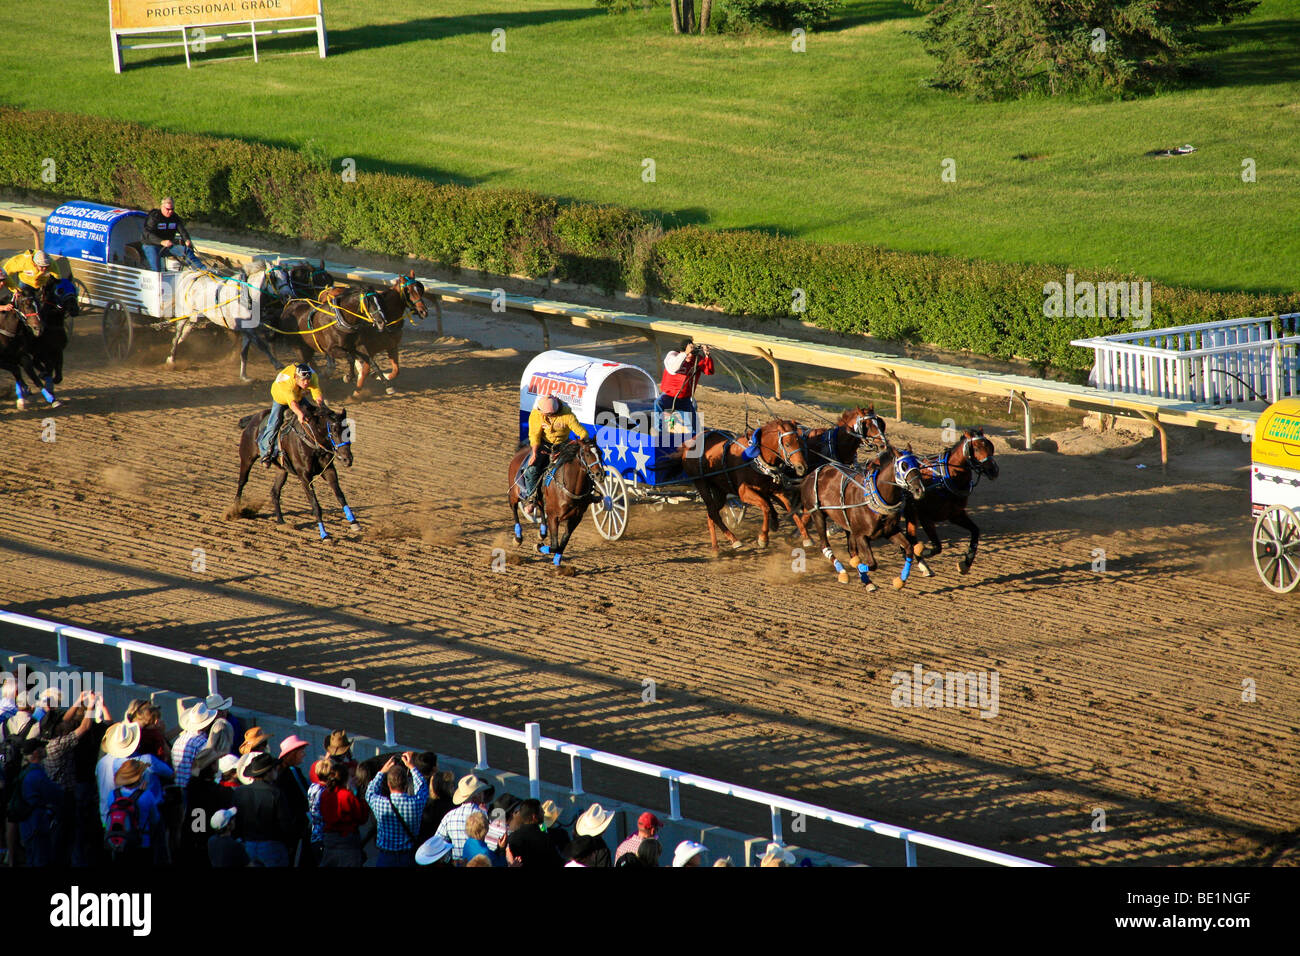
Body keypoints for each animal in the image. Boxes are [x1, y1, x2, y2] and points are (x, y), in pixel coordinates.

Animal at [233, 400, 356, 541]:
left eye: (348, 432)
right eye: (334, 431)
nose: (348, 460)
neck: (312, 441)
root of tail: (253, 418)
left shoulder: (329, 470)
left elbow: (340, 496)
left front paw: (354, 523)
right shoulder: (304, 476)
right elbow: (315, 505)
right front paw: (324, 534)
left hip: (282, 470)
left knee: (274, 492)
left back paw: (281, 521)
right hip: (247, 458)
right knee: (242, 482)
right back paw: (235, 510)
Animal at [506, 437, 608, 572]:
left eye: (600, 453)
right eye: (587, 454)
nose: (599, 474)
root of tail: (521, 451)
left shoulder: (576, 518)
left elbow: (563, 541)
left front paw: (558, 562)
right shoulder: (554, 516)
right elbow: (554, 545)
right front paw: (538, 546)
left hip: (541, 500)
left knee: (540, 507)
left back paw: (542, 533)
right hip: (514, 494)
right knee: (514, 508)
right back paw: (518, 538)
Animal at [686, 421, 806, 554]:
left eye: (800, 442)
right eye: (788, 444)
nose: (802, 467)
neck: (754, 458)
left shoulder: (773, 490)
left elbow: (790, 508)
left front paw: (806, 537)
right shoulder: (744, 493)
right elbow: (766, 507)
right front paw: (763, 538)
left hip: (719, 490)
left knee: (711, 513)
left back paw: (715, 546)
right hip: (701, 484)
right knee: (712, 511)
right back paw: (733, 540)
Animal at [800, 442, 925, 590]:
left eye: (917, 464)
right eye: (904, 466)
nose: (919, 489)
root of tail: (811, 474)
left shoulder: (890, 531)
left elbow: (909, 548)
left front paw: (900, 580)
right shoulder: (861, 535)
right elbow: (872, 564)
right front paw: (856, 567)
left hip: (847, 525)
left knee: (851, 550)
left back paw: (867, 581)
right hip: (817, 514)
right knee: (825, 546)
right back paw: (843, 572)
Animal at [909, 431, 998, 574]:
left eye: (991, 446)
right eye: (976, 448)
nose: (994, 470)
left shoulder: (955, 514)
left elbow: (975, 532)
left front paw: (966, 563)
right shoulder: (924, 516)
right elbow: (936, 547)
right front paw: (921, 550)